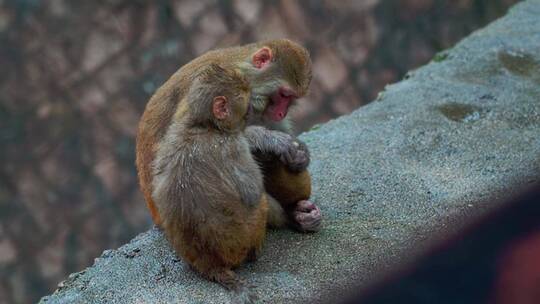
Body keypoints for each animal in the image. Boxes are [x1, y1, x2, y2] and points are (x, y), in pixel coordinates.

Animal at [136, 39, 320, 234]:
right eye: (284, 94)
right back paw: (289, 217)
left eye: (291, 99)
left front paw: (302, 154)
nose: (281, 113)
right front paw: (270, 140)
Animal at [151, 64, 268, 302]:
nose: (253, 107)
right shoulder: (232, 145)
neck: (205, 126)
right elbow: (252, 191)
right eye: (245, 98)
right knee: (260, 204)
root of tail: (211, 265)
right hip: (246, 237)